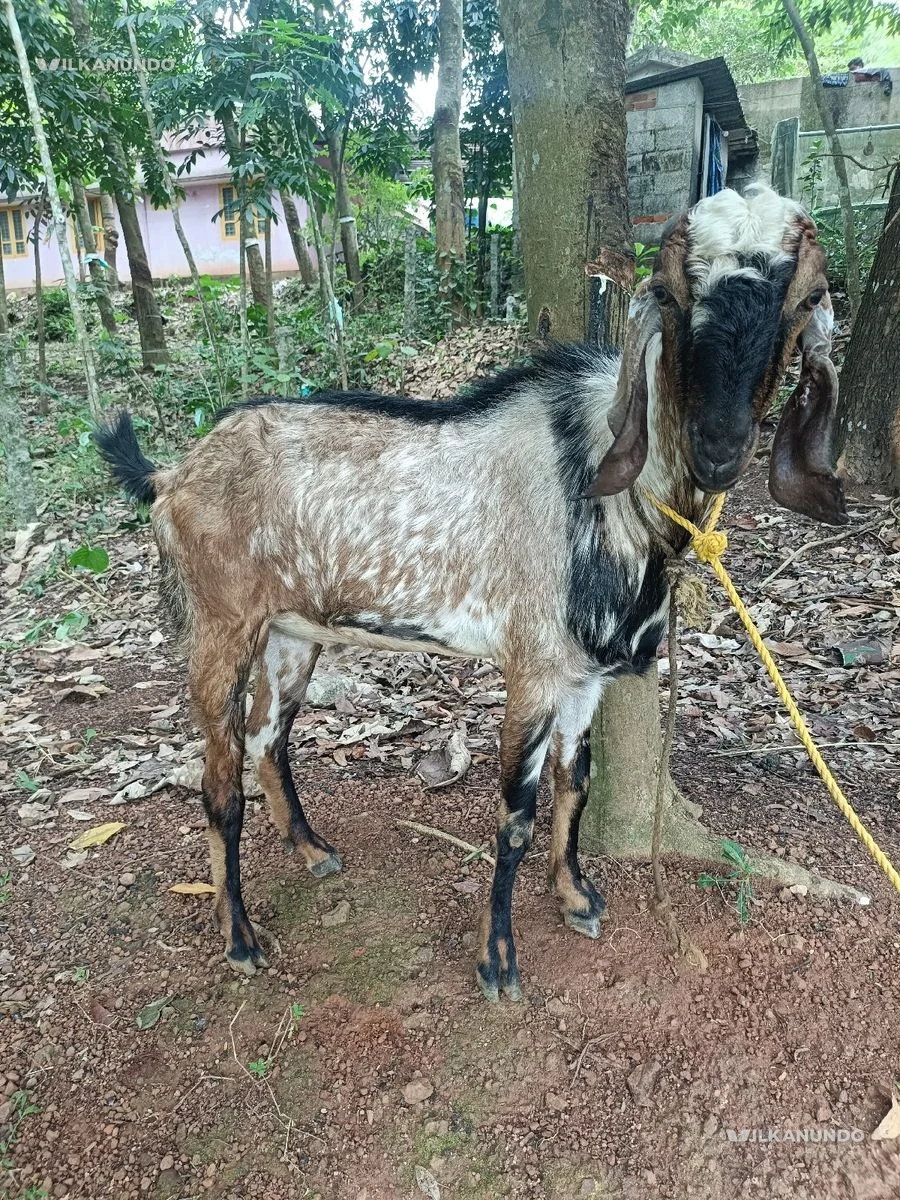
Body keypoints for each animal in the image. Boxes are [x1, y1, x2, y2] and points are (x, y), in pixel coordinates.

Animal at [95, 186, 846, 1002]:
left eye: (805, 300)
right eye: (676, 295)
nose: (719, 449)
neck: (605, 484)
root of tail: (173, 474)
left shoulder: (583, 673)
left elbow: (576, 780)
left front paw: (575, 895)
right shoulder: (534, 667)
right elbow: (515, 815)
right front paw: (499, 961)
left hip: (293, 630)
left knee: (269, 738)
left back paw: (313, 850)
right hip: (221, 624)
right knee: (219, 780)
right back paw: (238, 937)